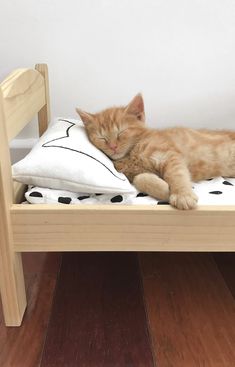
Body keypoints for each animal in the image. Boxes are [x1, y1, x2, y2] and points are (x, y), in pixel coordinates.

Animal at [76, 95, 235, 210]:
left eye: (121, 132)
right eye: (102, 138)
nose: (113, 146)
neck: (132, 153)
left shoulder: (170, 155)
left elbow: (176, 174)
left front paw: (182, 196)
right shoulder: (131, 175)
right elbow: (140, 178)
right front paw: (165, 190)